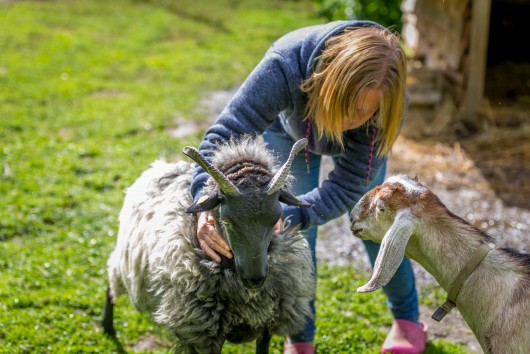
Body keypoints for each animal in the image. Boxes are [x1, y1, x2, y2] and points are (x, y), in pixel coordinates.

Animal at [101, 136, 314, 354]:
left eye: (275, 219)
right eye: (227, 220)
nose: (255, 279)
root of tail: (162, 165)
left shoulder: (268, 323)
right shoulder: (203, 334)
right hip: (126, 257)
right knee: (111, 280)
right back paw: (107, 327)